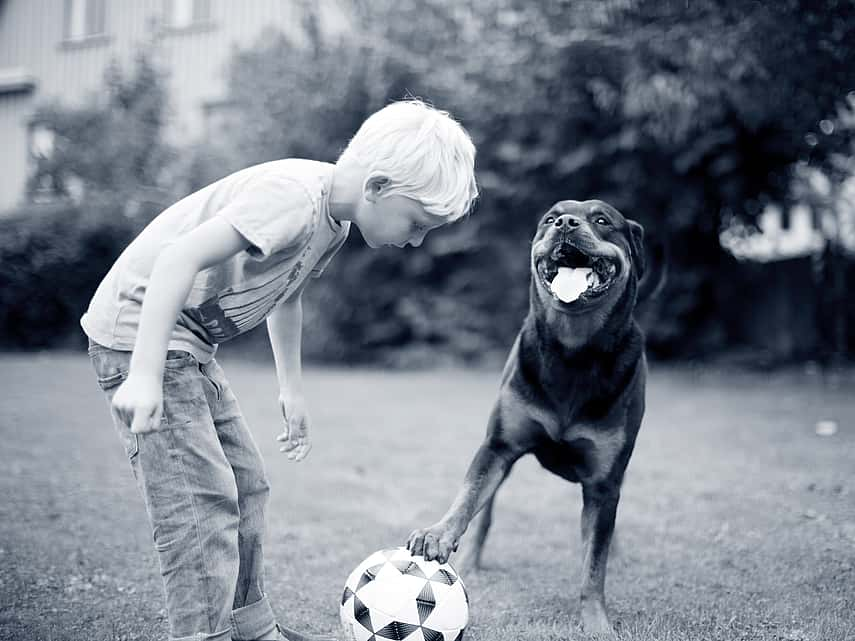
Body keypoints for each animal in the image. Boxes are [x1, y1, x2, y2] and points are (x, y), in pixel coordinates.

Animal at [408, 200, 664, 636]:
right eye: (550, 218)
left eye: (602, 219)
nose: (565, 223)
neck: (574, 352)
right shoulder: (499, 446)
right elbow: (470, 494)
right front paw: (438, 533)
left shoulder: (603, 481)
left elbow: (593, 564)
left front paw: (596, 623)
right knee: (487, 512)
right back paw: (472, 563)